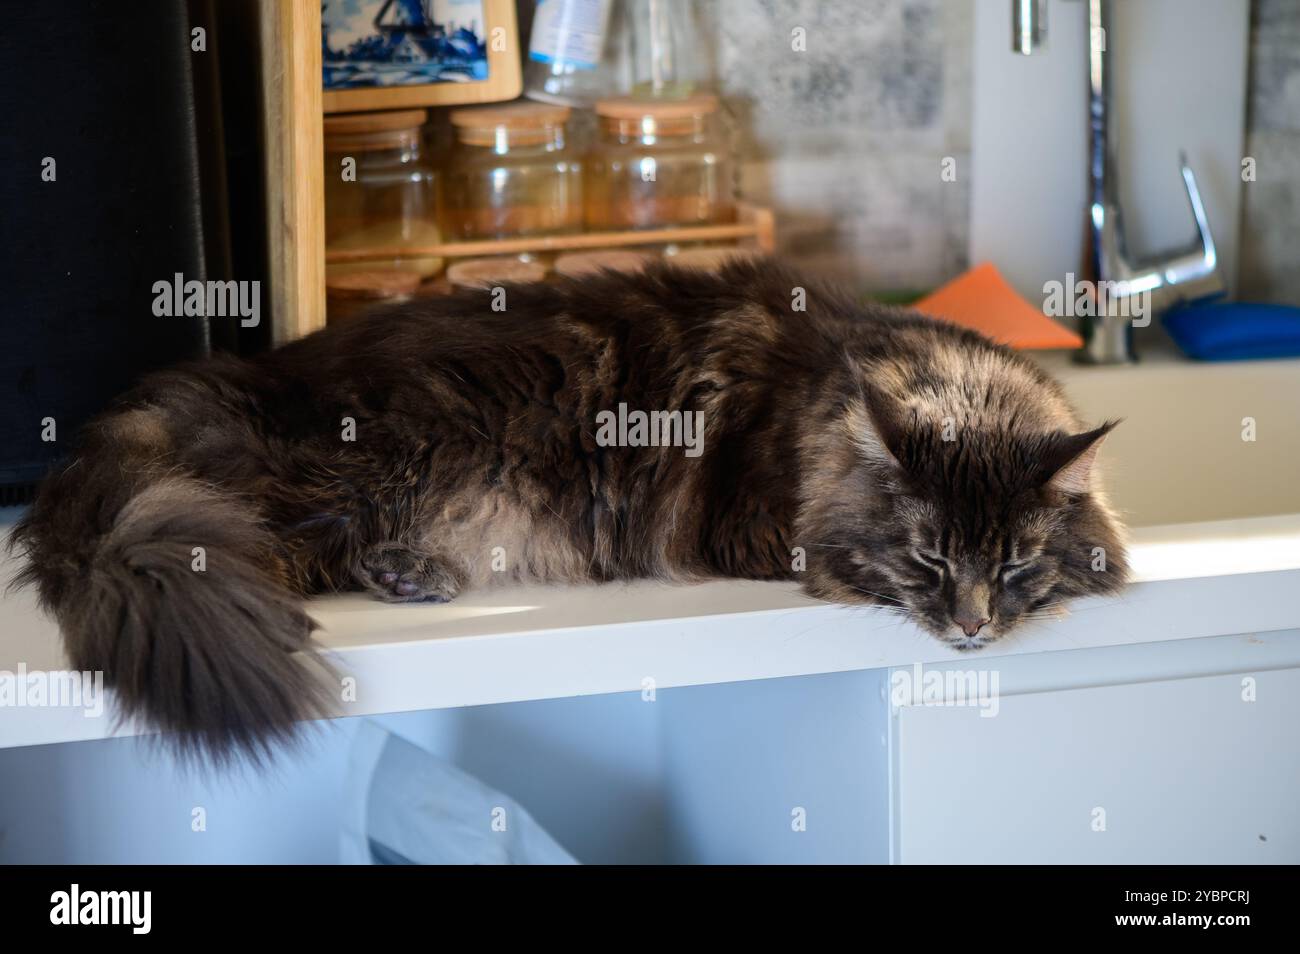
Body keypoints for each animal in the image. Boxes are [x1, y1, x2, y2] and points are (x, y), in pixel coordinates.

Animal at [10, 259, 1128, 764]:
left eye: (1014, 562)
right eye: (929, 559)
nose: (973, 626)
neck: (821, 399)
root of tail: (226, 382)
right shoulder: (754, 527)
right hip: (362, 473)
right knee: (254, 547)